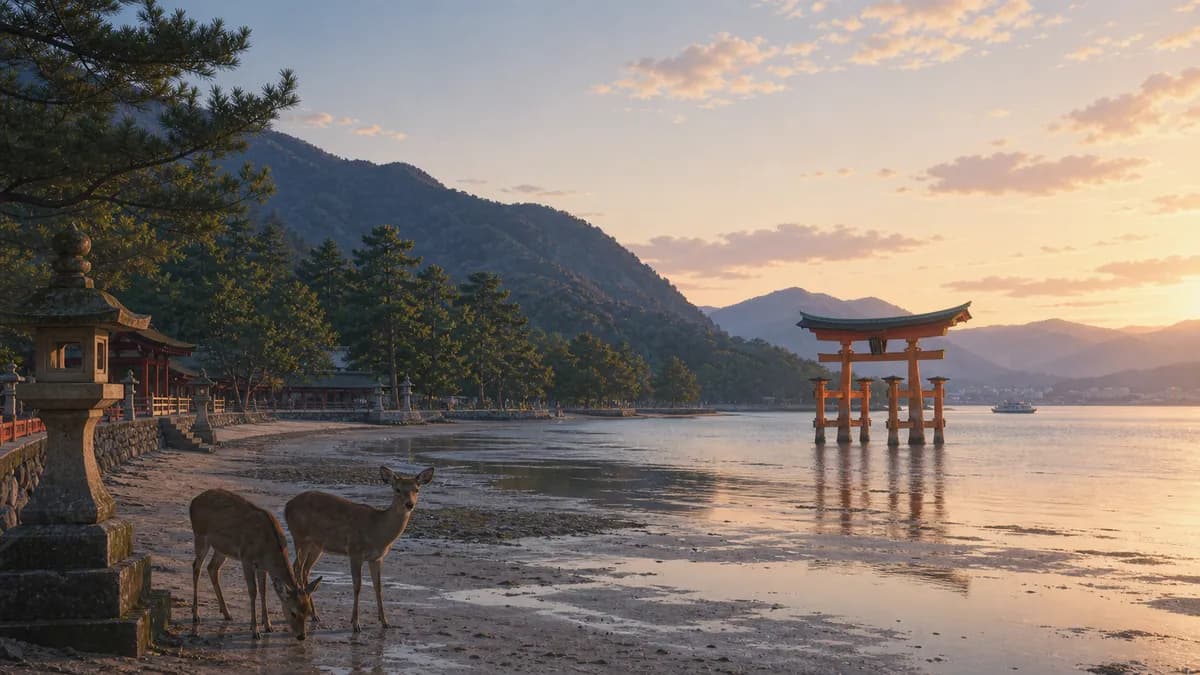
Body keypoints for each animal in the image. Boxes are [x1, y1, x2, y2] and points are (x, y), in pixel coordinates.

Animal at [189, 488, 322, 640]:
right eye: (293, 612)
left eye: (308, 611)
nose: (301, 636)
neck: (267, 547)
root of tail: (193, 501)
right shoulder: (246, 559)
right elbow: (253, 591)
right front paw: (255, 630)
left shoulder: (262, 566)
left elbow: (264, 591)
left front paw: (268, 625)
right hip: (200, 536)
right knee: (196, 567)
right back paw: (196, 615)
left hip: (222, 549)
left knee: (212, 568)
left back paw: (227, 613)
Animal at [285, 465, 435, 632]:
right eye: (397, 489)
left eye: (417, 489)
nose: (410, 504)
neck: (377, 530)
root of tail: (287, 506)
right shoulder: (355, 552)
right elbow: (357, 586)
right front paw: (356, 624)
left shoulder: (376, 558)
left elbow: (378, 587)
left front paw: (385, 621)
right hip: (300, 537)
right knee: (297, 567)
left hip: (317, 546)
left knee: (305, 569)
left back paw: (314, 614)